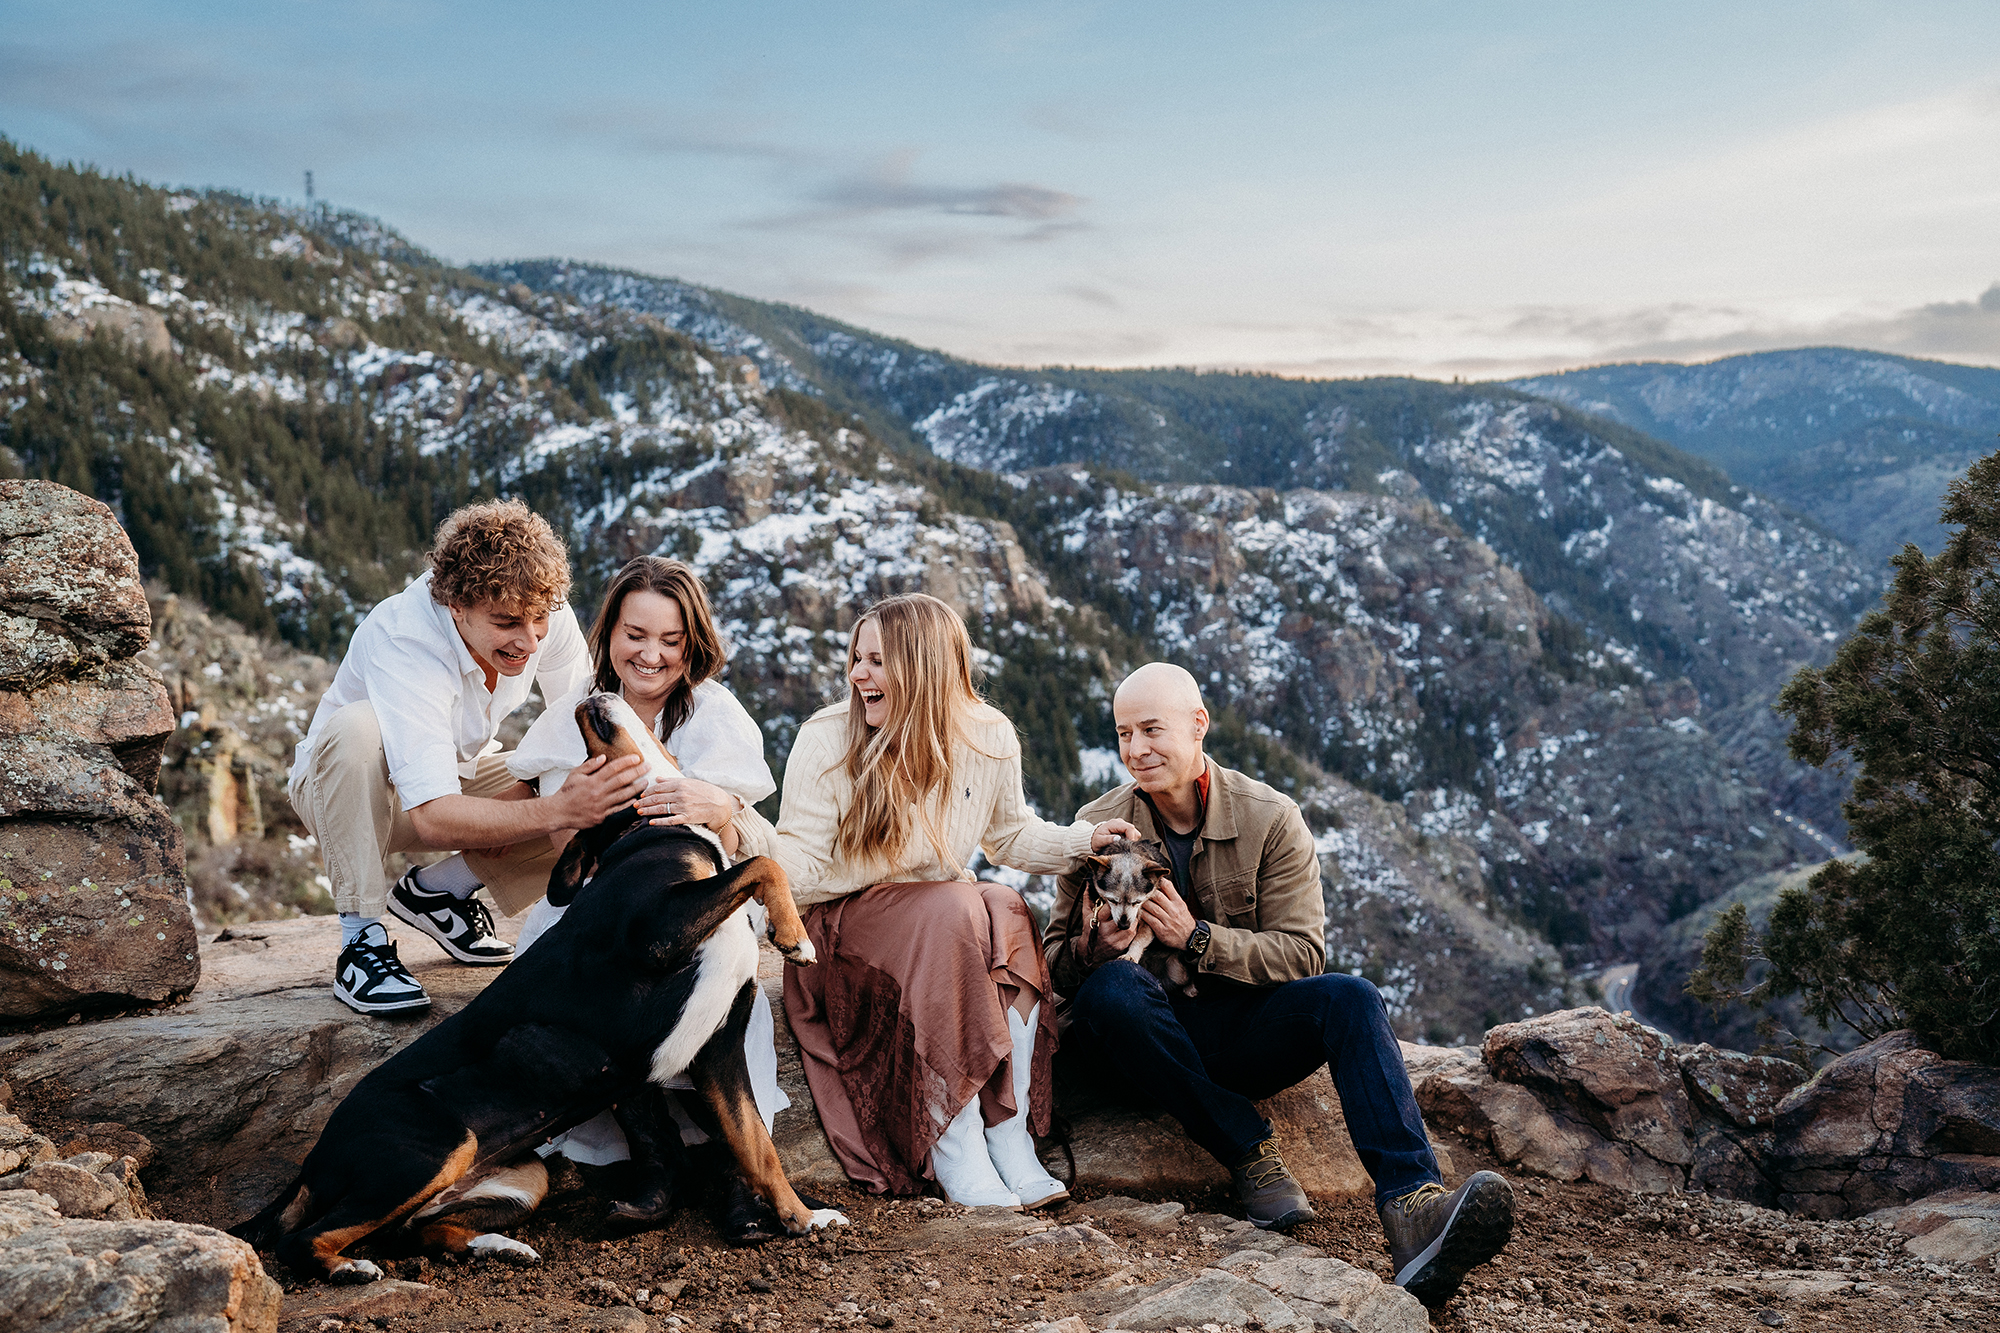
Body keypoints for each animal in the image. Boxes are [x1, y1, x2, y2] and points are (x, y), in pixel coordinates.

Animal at [234, 688, 836, 1272]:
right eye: (588, 765)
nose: (590, 699)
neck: (643, 830)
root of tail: (313, 1158)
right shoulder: (656, 930)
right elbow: (760, 865)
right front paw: (795, 937)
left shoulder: (718, 1050)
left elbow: (756, 1145)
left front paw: (803, 1218)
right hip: (431, 1151)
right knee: (305, 1240)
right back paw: (349, 1268)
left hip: (522, 1176)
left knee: (419, 1231)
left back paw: (498, 1247)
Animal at [1088, 836, 1192, 992]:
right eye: (1112, 900)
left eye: (1137, 902)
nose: (1124, 926)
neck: (1127, 851)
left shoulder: (1152, 918)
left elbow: (1141, 937)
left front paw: (1131, 955)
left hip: (1178, 972)